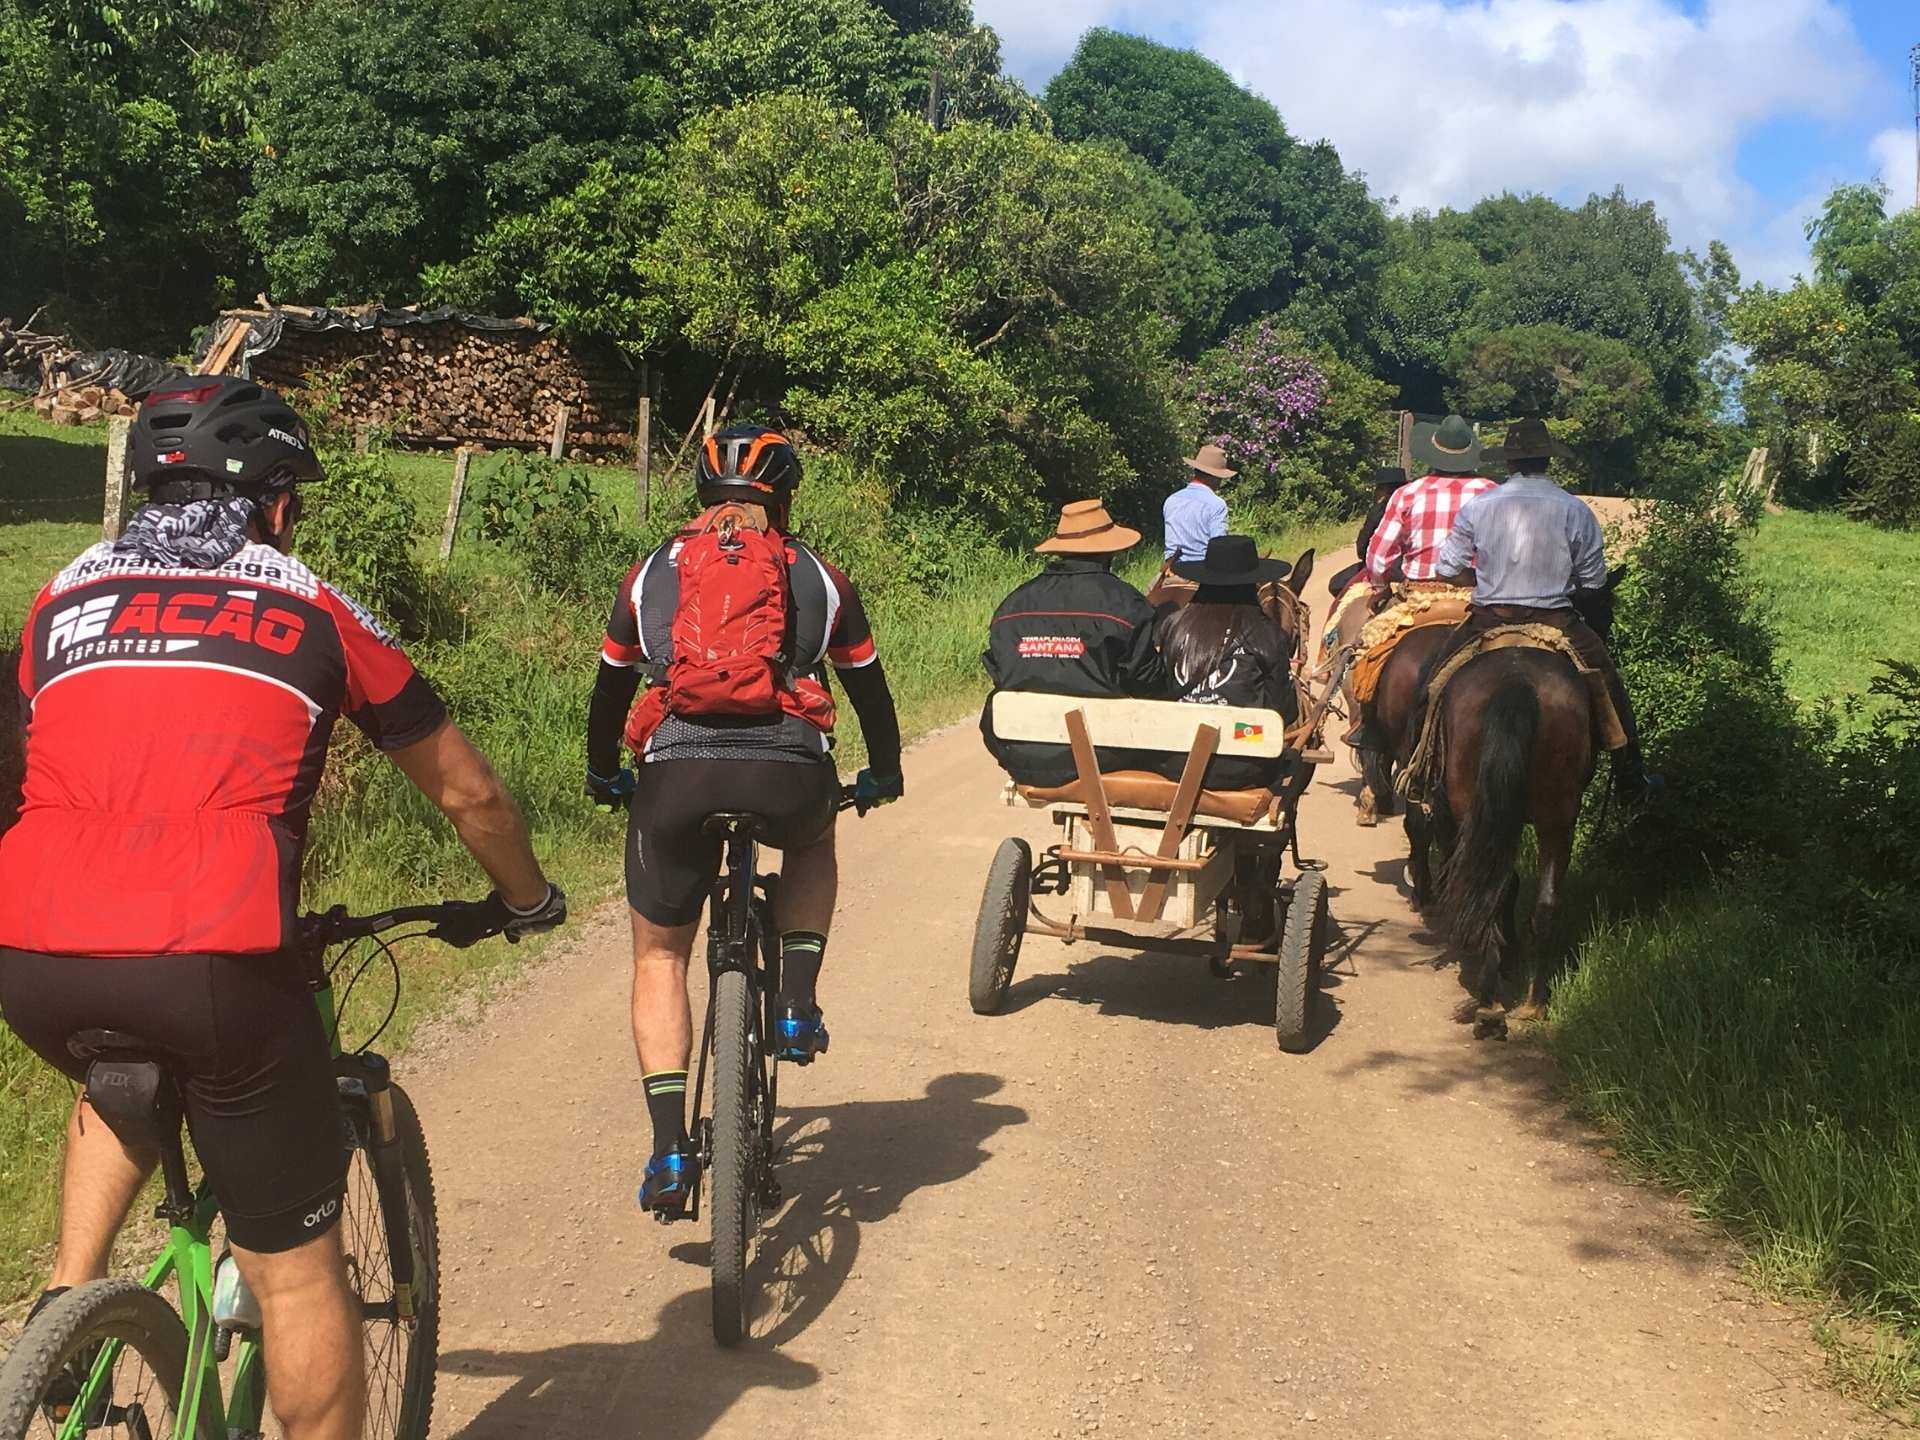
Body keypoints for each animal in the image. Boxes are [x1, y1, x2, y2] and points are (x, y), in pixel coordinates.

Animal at [1420, 568, 1628, 1036]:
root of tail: (1517, 683)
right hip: (1558, 815)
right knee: (1541, 902)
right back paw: (1530, 1003)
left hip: (1479, 810)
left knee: (1500, 890)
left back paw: (1492, 1002)